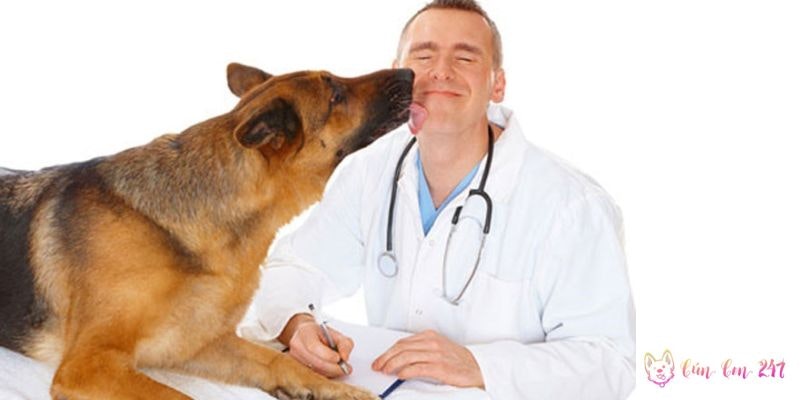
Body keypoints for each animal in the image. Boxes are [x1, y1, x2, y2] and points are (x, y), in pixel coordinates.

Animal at [0, 62, 413, 399]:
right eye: (336, 94)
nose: (409, 74)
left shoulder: (198, 343)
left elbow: (280, 361)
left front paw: (335, 388)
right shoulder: (88, 364)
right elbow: (179, 397)